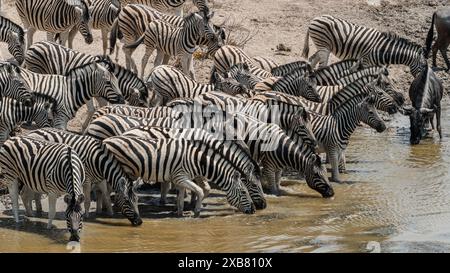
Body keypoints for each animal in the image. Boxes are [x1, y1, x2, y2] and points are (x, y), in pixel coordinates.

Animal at [103, 135, 255, 215]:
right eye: (243, 192)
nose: (254, 210)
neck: (197, 160)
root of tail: (106, 140)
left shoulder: (181, 179)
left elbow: (181, 198)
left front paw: (180, 213)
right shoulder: (180, 176)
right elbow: (200, 190)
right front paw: (197, 211)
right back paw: (109, 211)